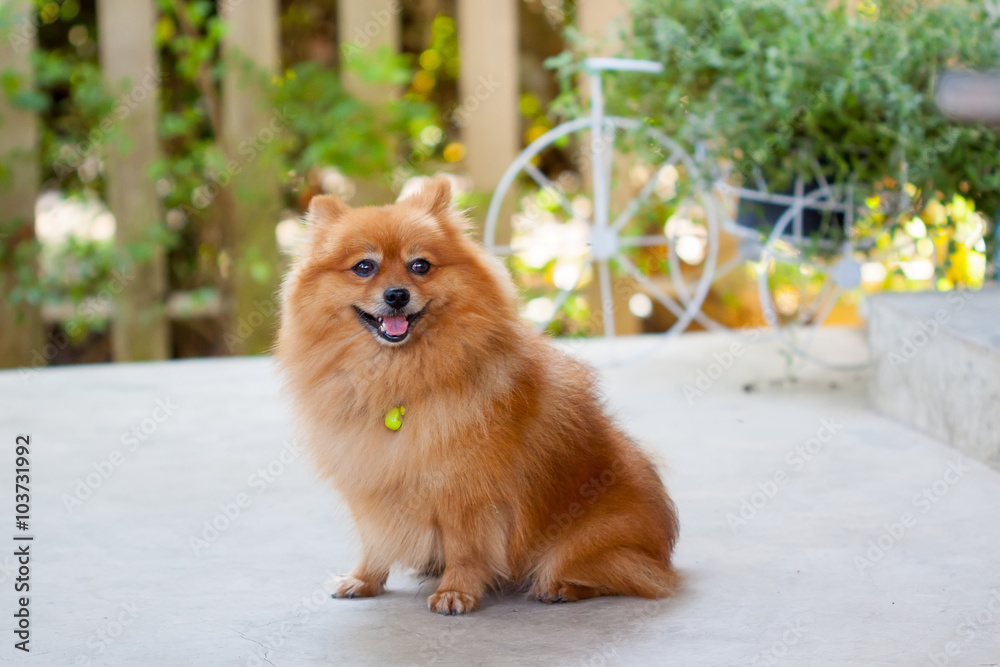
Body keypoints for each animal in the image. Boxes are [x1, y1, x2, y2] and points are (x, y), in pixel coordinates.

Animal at [276, 176, 680, 616]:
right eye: (364, 267)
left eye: (420, 265)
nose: (397, 294)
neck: (400, 378)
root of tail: (662, 551)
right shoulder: (372, 485)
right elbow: (375, 539)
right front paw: (365, 580)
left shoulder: (467, 493)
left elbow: (466, 549)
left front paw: (456, 591)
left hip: (587, 541)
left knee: (620, 573)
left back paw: (563, 587)